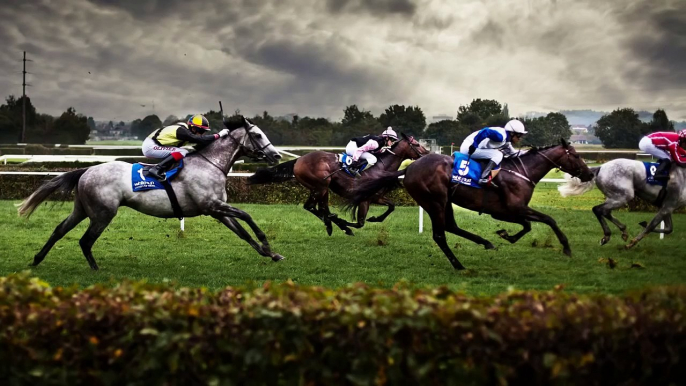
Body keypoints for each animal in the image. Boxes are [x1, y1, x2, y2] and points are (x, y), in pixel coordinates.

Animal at [18, 116, 284, 270]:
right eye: (257, 135)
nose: (276, 155)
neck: (210, 163)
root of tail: (87, 170)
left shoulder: (216, 210)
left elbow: (243, 233)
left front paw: (270, 254)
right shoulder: (211, 205)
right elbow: (248, 216)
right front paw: (266, 243)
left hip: (83, 209)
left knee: (59, 230)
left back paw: (37, 259)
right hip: (103, 214)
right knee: (85, 240)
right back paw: (95, 269)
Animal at [247, 133, 430, 235]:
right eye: (417, 144)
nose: (428, 154)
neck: (381, 167)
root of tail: (299, 160)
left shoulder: (374, 197)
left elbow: (391, 207)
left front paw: (374, 218)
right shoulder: (363, 198)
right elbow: (360, 222)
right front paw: (345, 223)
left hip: (323, 189)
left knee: (322, 209)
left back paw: (331, 225)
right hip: (320, 185)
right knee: (311, 207)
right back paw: (336, 224)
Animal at [350, 140, 596, 270]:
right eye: (576, 156)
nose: (590, 173)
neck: (521, 172)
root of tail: (409, 167)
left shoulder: (506, 212)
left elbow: (527, 225)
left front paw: (505, 235)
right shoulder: (512, 209)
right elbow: (548, 219)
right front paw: (566, 247)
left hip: (445, 201)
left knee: (451, 227)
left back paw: (486, 243)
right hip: (434, 200)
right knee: (440, 234)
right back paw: (458, 264)